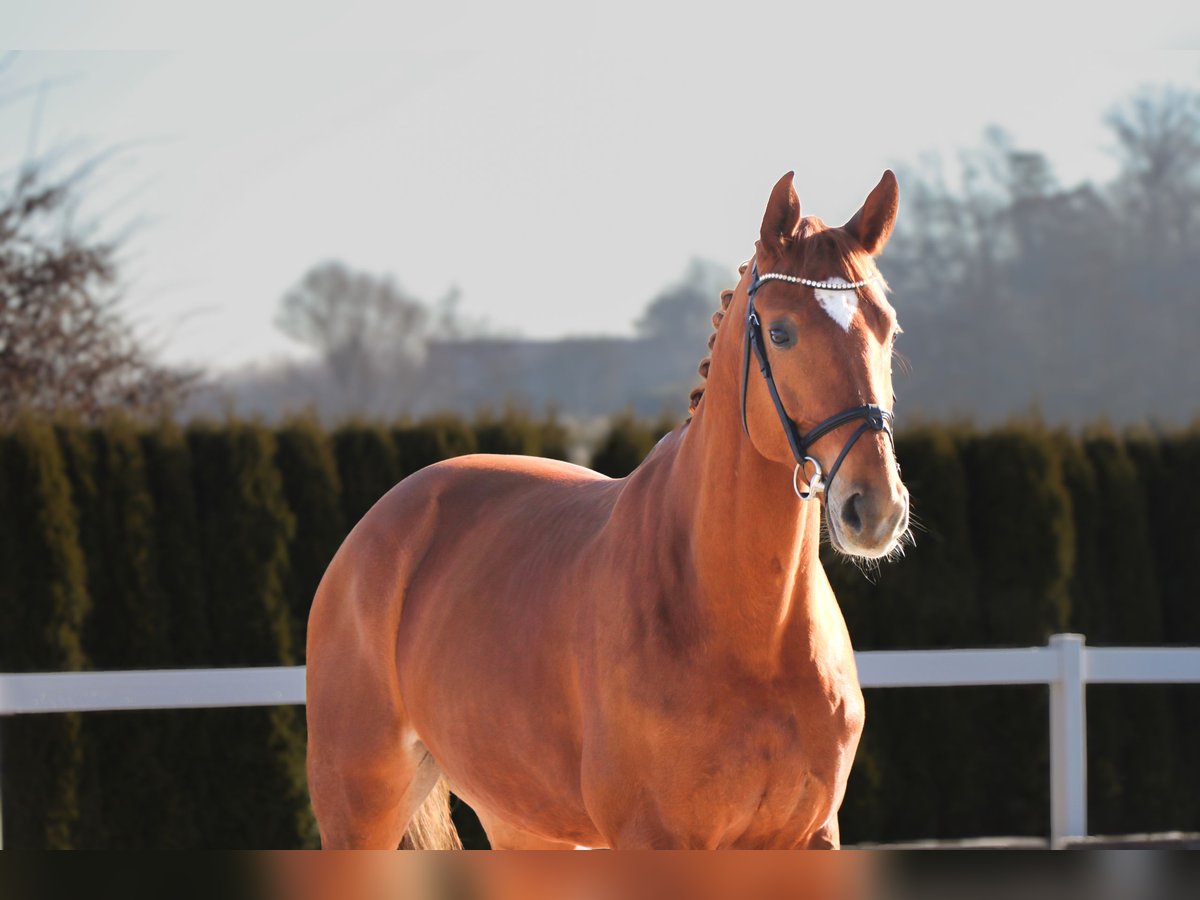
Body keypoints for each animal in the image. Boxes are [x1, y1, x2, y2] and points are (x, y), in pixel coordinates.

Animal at [304, 170, 902, 854]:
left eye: (886, 327)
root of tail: (379, 526)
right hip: (360, 813)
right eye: (781, 332)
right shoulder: (654, 840)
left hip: (523, 825)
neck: (748, 628)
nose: (876, 507)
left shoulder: (810, 838)